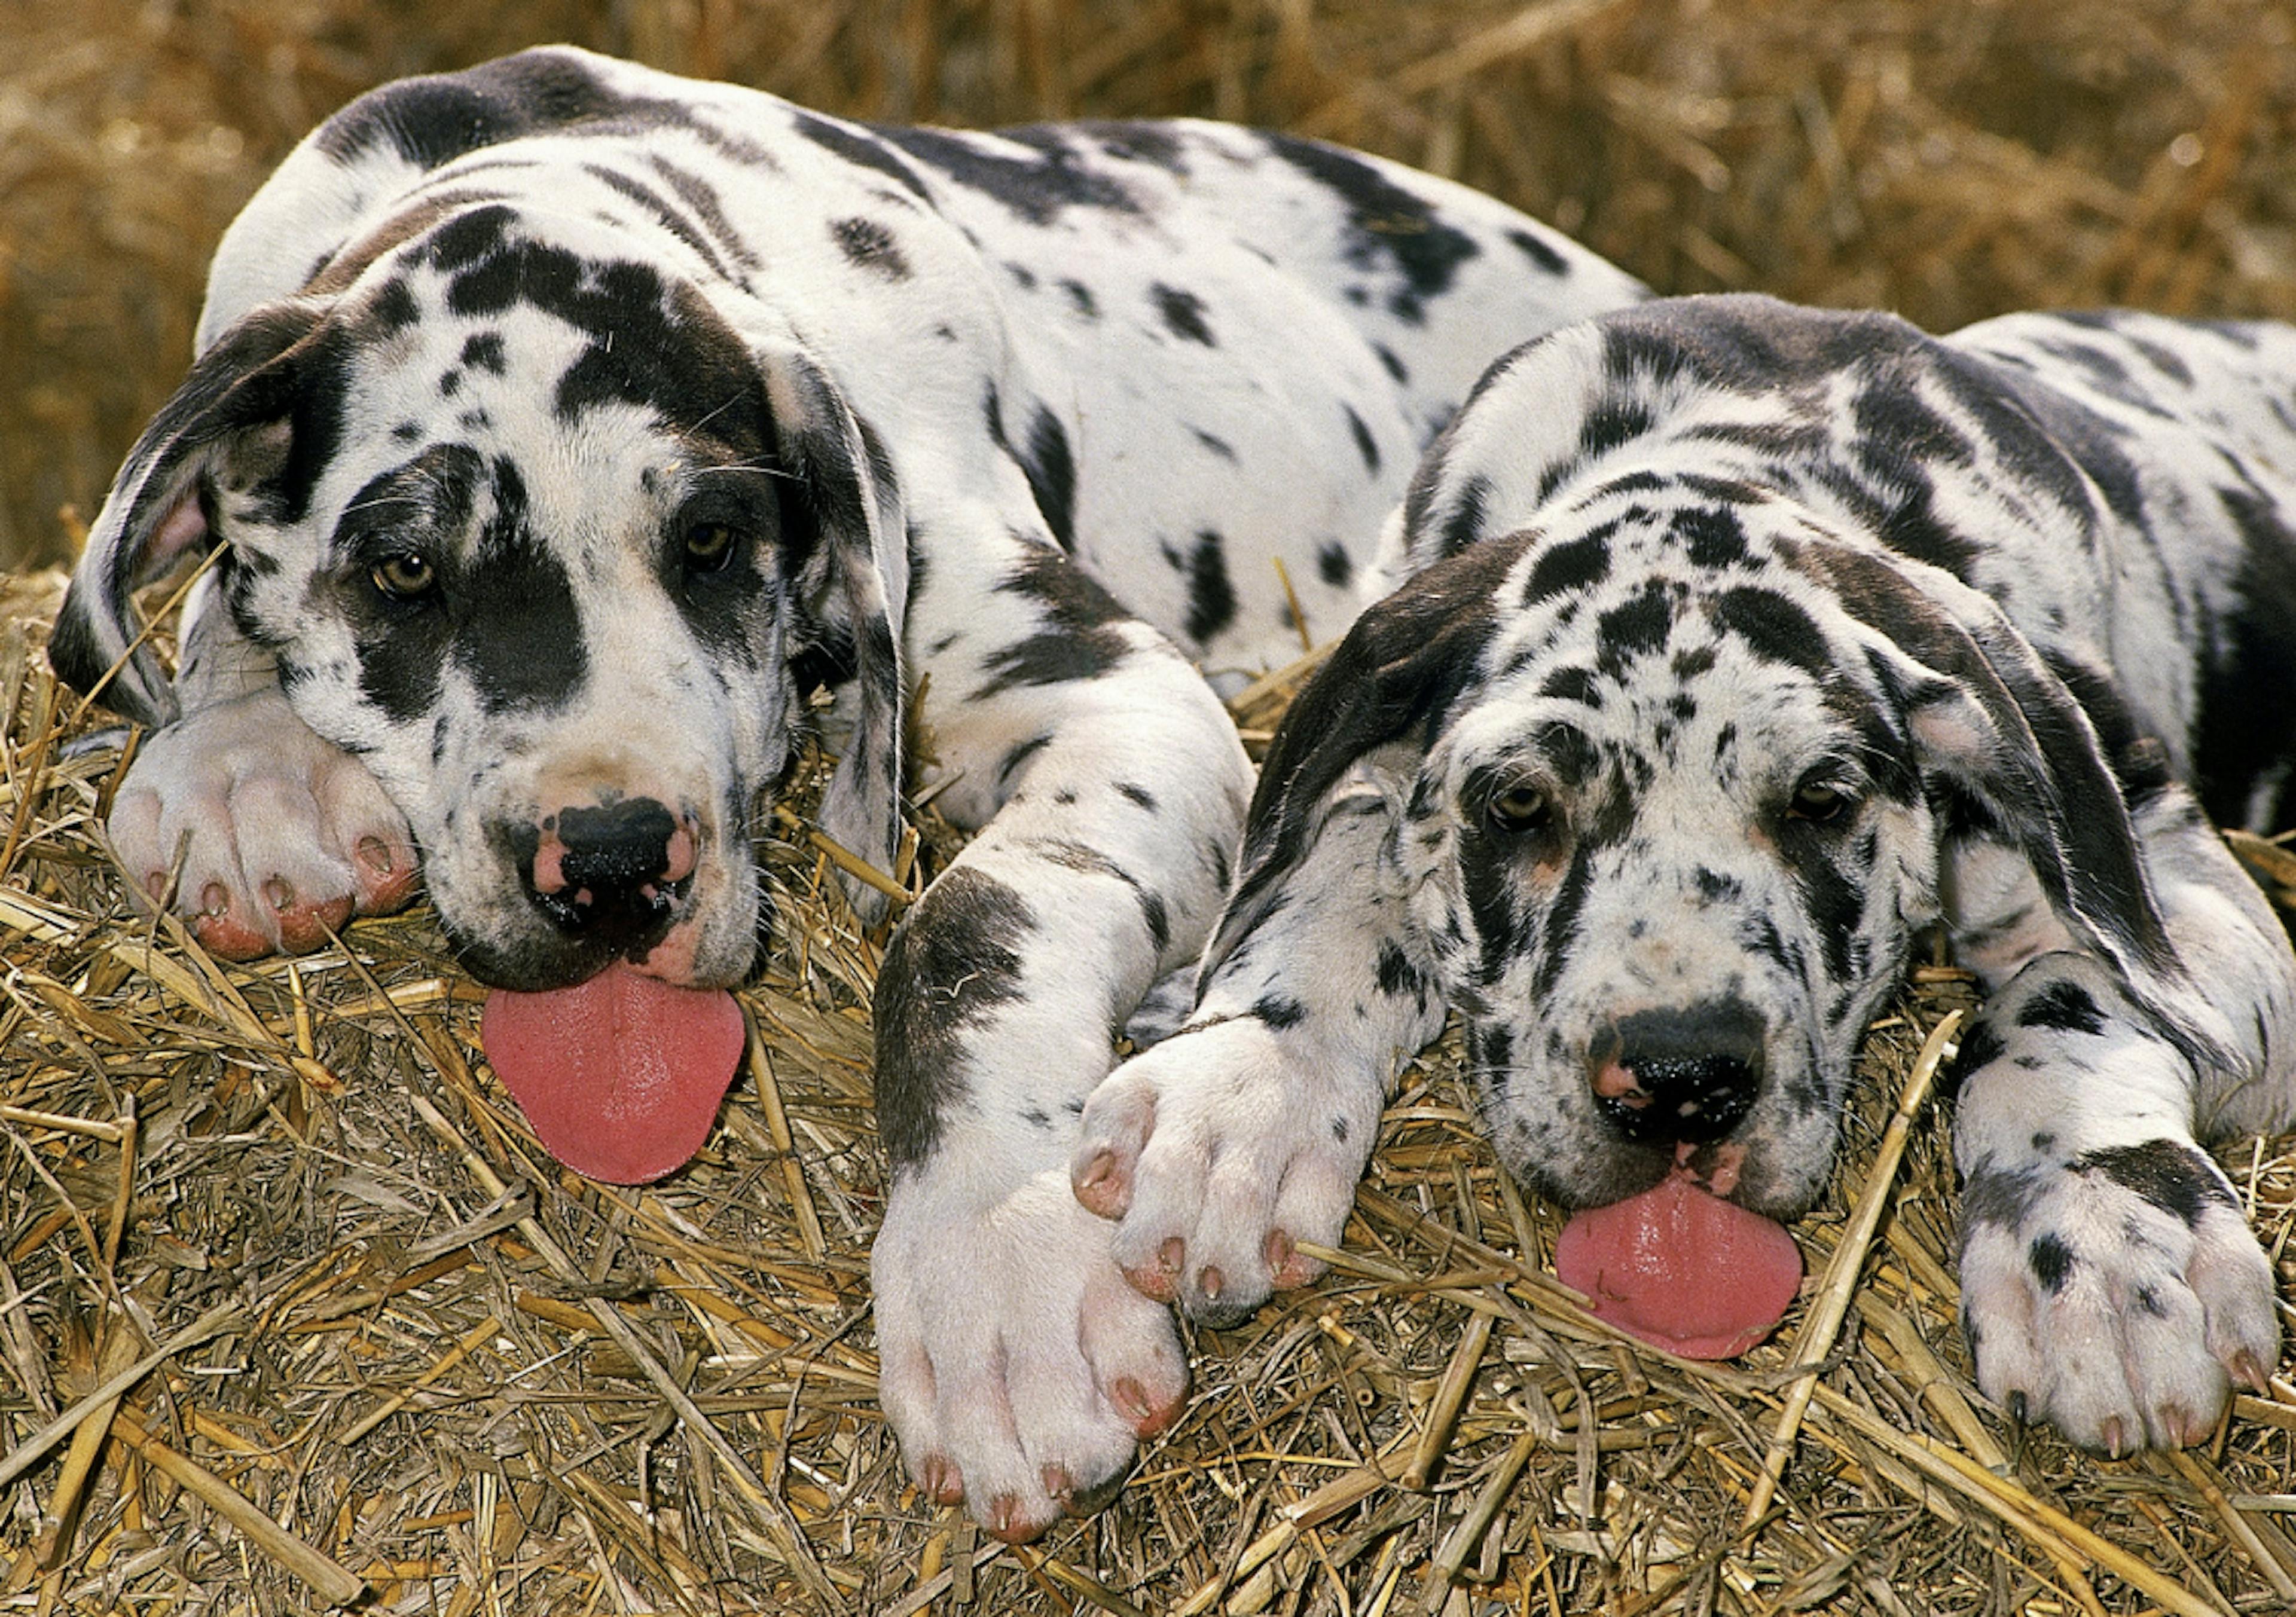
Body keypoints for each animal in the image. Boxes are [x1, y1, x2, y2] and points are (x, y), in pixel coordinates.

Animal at [44, 47, 1644, 1543]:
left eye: (709, 539)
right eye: (403, 570)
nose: (613, 862)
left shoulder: (1129, 697)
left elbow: (967, 929)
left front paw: (997, 1261)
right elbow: (209, 616)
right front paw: (243, 757)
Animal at [1083, 294, 2296, 1470]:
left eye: (1823, 798)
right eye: (1517, 804)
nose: (1680, 1082)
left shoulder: (2197, 896)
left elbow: (2072, 988)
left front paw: (2100, 1222)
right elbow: (1332, 879)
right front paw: (1242, 1090)